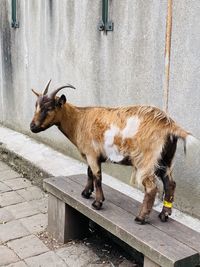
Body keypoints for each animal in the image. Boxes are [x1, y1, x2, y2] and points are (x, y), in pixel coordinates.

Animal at [30, 81, 198, 224]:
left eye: (49, 108)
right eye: (36, 106)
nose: (32, 126)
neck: (79, 120)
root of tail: (169, 125)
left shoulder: (91, 154)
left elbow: (97, 176)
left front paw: (97, 203)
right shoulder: (91, 155)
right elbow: (89, 172)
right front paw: (86, 193)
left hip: (146, 160)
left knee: (151, 188)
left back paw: (141, 218)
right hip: (165, 160)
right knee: (170, 183)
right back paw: (164, 215)